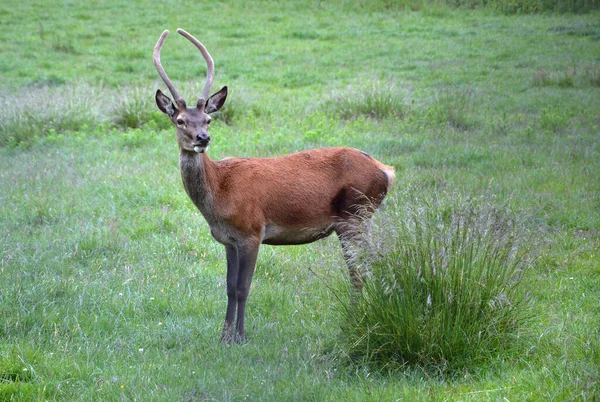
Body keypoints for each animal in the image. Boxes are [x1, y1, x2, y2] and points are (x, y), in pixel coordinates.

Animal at [152, 28, 396, 344]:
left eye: (208, 119)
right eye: (180, 120)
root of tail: (387, 171)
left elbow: (243, 288)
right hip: (359, 217)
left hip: (354, 214)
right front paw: (224, 336)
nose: (202, 138)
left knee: (361, 270)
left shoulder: (252, 232)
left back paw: (351, 324)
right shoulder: (228, 240)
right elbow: (229, 287)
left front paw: (240, 337)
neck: (218, 197)